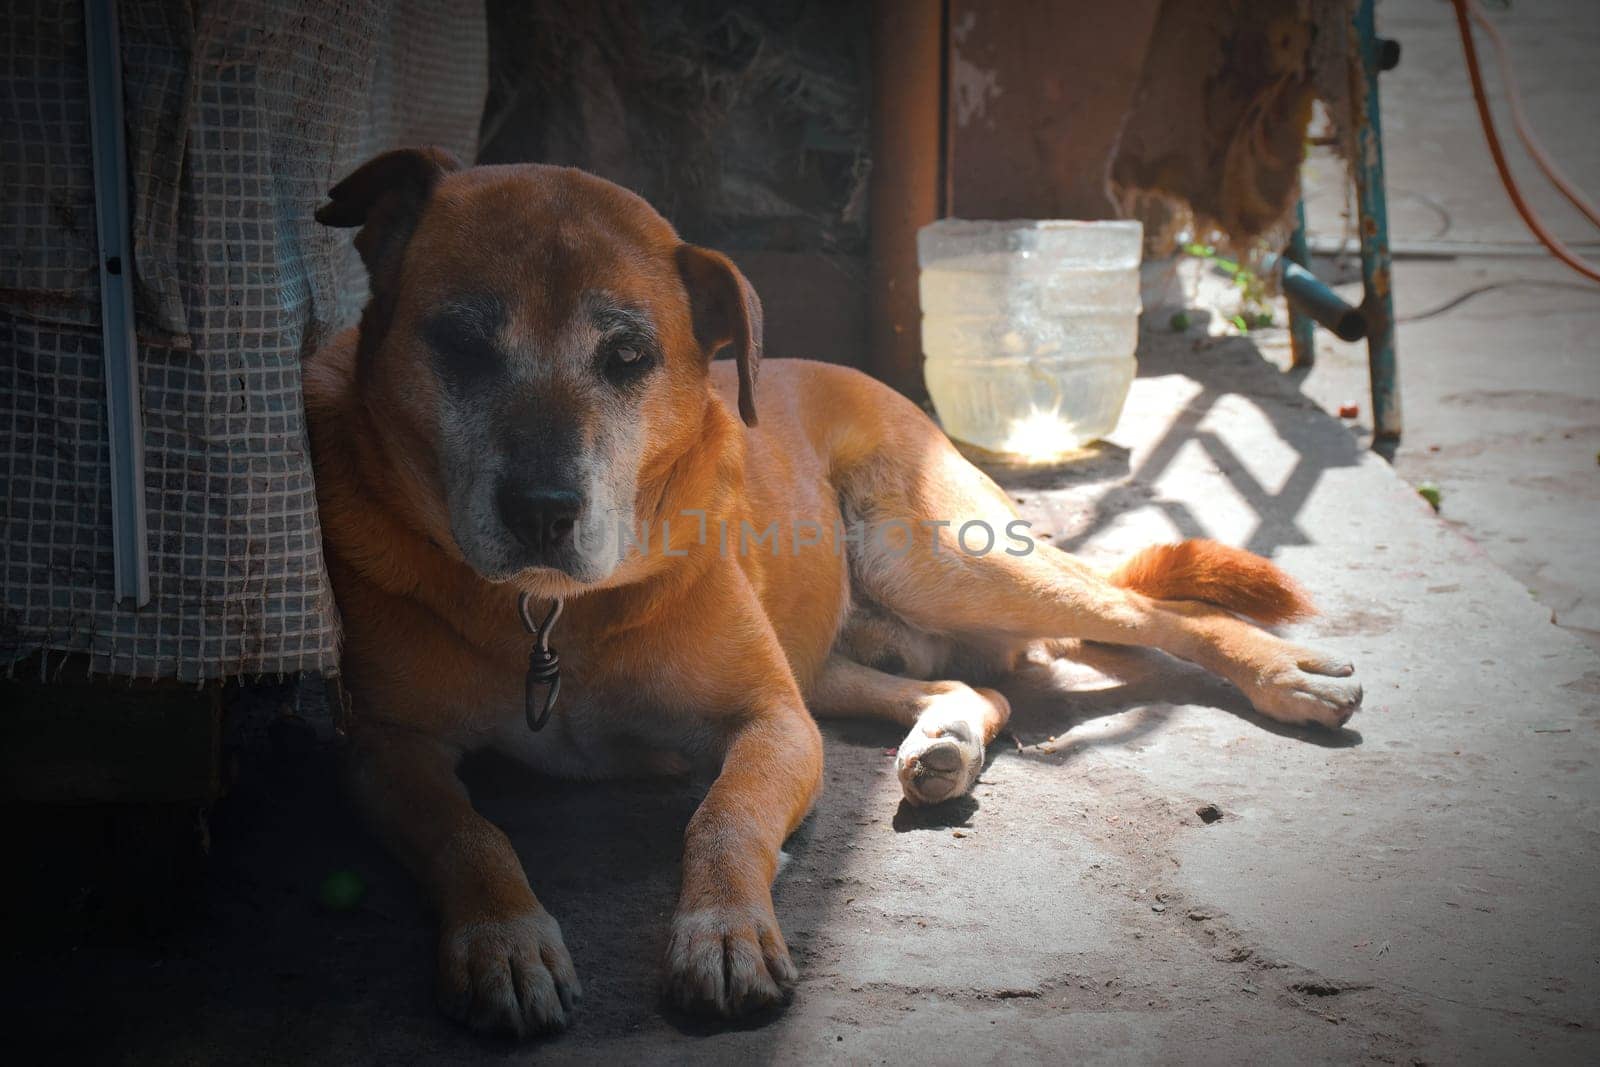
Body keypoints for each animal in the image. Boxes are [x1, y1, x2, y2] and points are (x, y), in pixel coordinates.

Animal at [305, 147, 1356, 1036]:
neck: (550, 613)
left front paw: (724, 932)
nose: (541, 511)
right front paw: (505, 938)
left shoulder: (772, 721)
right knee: (976, 683)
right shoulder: (382, 749)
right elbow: (468, 831)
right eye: (460, 343)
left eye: (627, 357)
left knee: (1157, 613)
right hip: (842, 656)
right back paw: (948, 740)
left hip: (944, 559)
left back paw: (1286, 674)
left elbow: (723, 818)